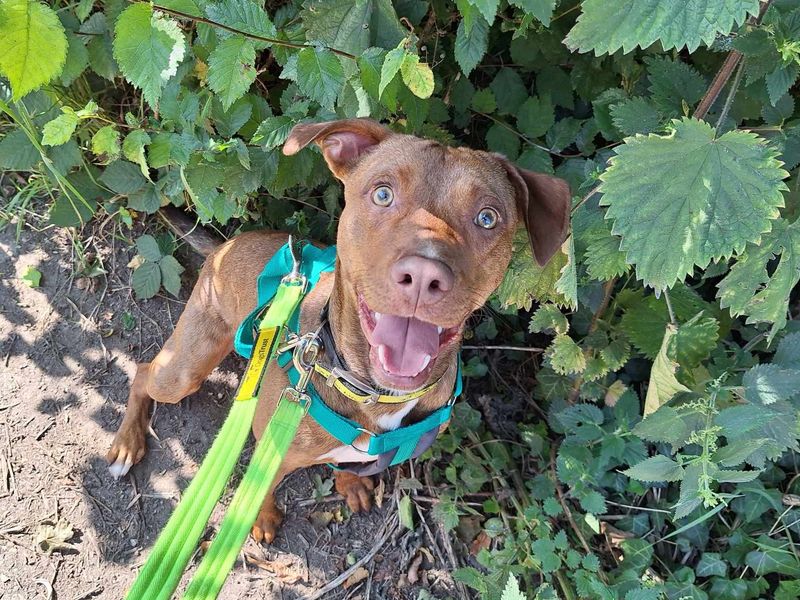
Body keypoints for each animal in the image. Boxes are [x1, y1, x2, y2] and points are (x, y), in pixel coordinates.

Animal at [106, 118, 572, 544]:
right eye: (382, 194)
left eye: (488, 217)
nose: (424, 276)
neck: (373, 392)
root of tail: (226, 245)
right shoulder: (271, 449)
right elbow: (261, 489)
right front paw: (261, 518)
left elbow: (348, 465)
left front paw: (350, 484)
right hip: (186, 367)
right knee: (144, 372)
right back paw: (127, 444)